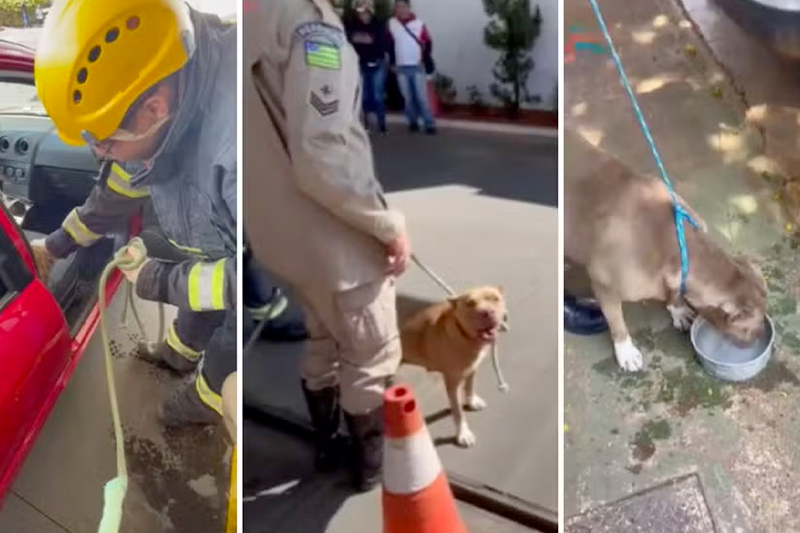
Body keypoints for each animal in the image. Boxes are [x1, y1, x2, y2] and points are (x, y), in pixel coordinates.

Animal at [400, 284, 506, 446]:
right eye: (470, 303)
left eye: (495, 299)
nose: (487, 312)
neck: (465, 336)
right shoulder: (452, 382)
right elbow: (458, 412)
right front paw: (463, 433)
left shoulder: (472, 368)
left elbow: (469, 386)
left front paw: (471, 401)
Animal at [564, 130, 768, 370]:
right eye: (747, 325)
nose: (761, 334)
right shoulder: (605, 287)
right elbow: (616, 322)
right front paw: (625, 351)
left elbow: (675, 293)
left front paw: (677, 309)